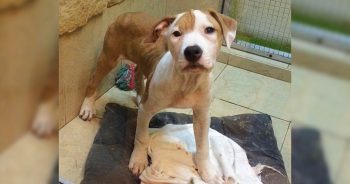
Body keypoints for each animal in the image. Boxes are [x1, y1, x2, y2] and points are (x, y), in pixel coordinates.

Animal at [79, 9, 238, 183]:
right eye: (176, 33)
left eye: (209, 30)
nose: (192, 51)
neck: (187, 81)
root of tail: (127, 14)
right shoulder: (146, 110)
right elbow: (141, 137)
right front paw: (138, 160)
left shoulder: (202, 115)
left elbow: (203, 145)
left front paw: (207, 171)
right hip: (109, 57)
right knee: (93, 79)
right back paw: (87, 107)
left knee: (138, 72)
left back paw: (139, 96)